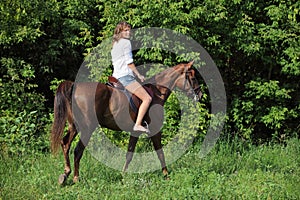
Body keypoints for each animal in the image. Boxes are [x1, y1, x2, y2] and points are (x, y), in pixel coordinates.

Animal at [51, 61, 202, 184]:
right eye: (193, 77)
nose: (199, 95)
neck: (156, 93)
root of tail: (74, 87)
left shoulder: (135, 132)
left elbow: (129, 154)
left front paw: (123, 176)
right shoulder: (154, 130)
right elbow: (160, 153)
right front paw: (166, 175)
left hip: (74, 127)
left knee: (65, 144)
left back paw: (65, 174)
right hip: (87, 128)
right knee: (77, 150)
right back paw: (76, 178)